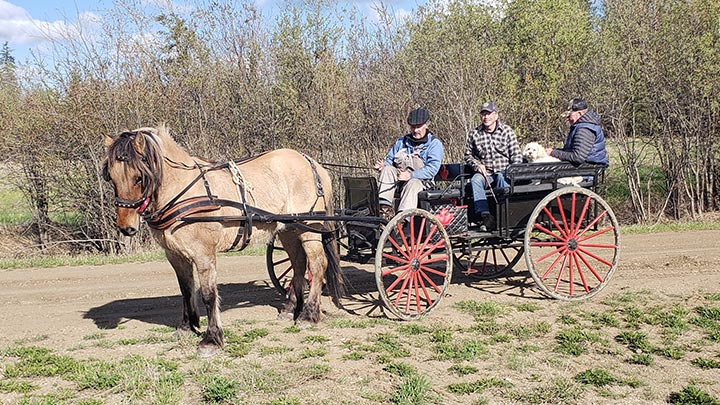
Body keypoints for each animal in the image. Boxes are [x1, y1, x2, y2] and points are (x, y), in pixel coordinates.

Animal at [102, 125, 344, 352]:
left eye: (138, 177)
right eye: (111, 177)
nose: (125, 227)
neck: (183, 191)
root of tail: (312, 163)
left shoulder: (204, 253)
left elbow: (208, 294)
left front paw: (212, 338)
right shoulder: (175, 255)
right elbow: (186, 289)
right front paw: (186, 327)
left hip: (309, 228)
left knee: (317, 265)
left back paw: (308, 314)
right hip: (288, 229)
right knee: (298, 265)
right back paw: (290, 309)